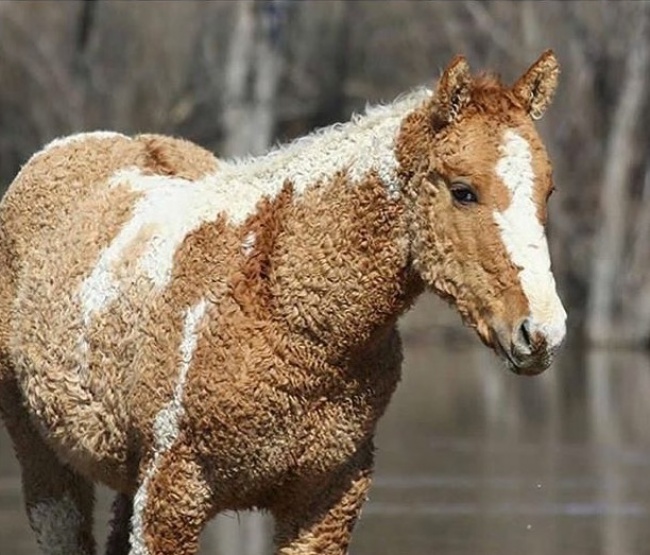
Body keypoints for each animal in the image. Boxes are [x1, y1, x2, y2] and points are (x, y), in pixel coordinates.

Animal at [0, 51, 566, 555]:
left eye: (548, 191)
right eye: (464, 190)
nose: (541, 332)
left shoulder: (325, 500)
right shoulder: (171, 494)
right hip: (46, 463)